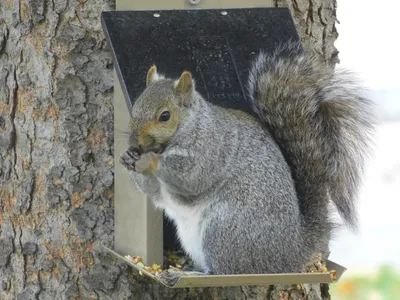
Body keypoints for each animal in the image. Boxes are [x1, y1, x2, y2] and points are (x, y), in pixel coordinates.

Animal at [119, 41, 376, 284]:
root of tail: (289, 253)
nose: (135, 143)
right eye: (136, 106)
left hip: (225, 229)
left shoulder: (211, 149)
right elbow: (153, 192)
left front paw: (150, 160)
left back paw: (187, 274)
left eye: (165, 116)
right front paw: (128, 158)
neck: (188, 127)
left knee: (225, 271)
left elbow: (191, 176)